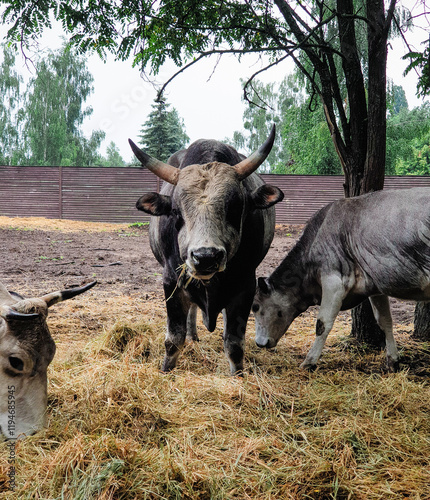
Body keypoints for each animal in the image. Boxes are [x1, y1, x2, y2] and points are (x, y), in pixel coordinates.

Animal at [252, 188, 430, 372]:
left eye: (255, 307)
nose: (259, 343)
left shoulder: (334, 282)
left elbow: (322, 324)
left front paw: (309, 361)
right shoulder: (376, 286)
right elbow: (385, 321)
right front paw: (392, 361)